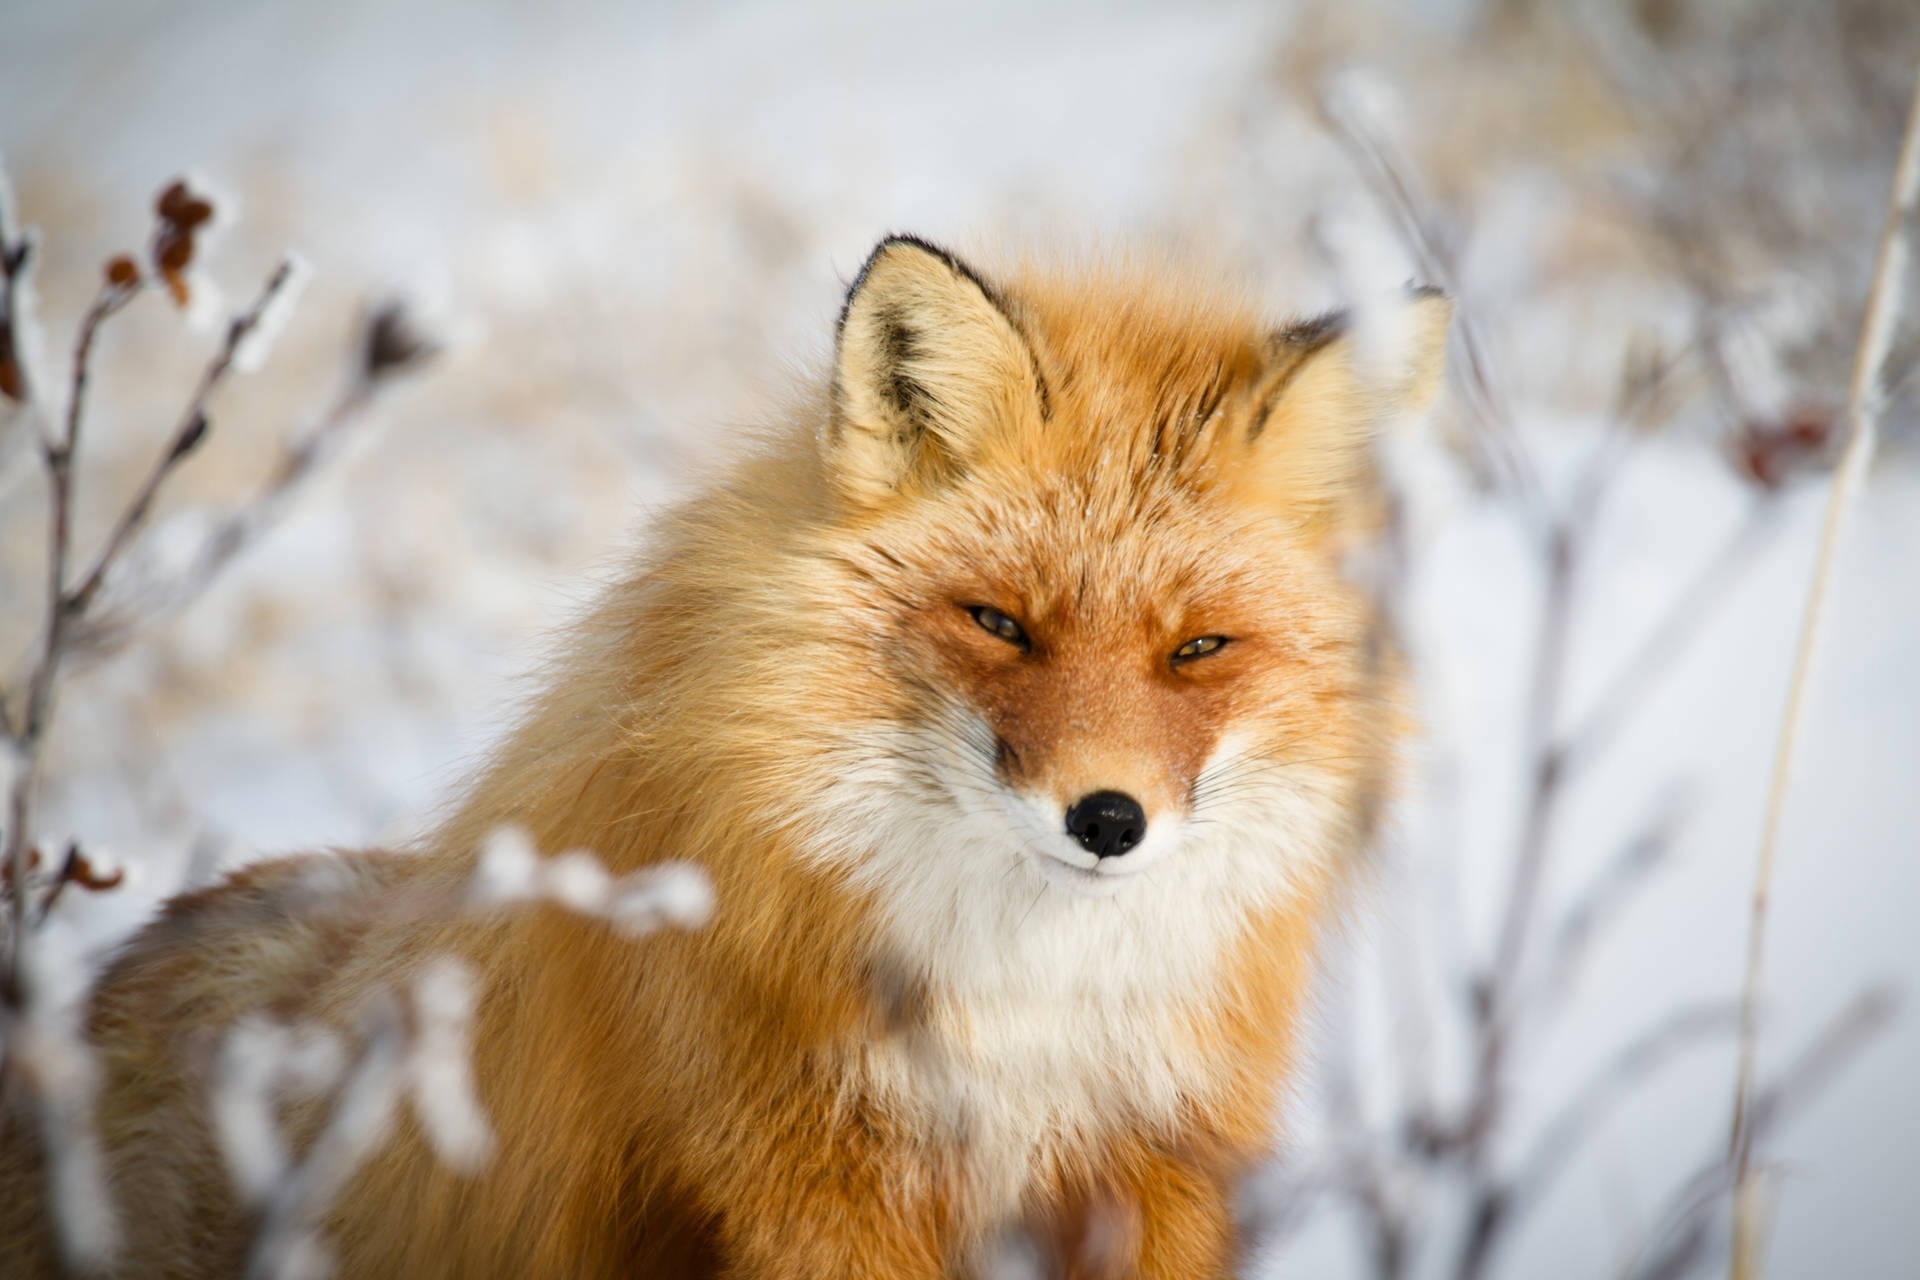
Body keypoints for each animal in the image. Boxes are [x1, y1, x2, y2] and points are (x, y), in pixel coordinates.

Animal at [0, 235, 1443, 1274]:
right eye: (999, 622)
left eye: (1198, 649)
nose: (1107, 819)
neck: (1022, 1016)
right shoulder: (805, 1184)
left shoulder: (1157, 1173)